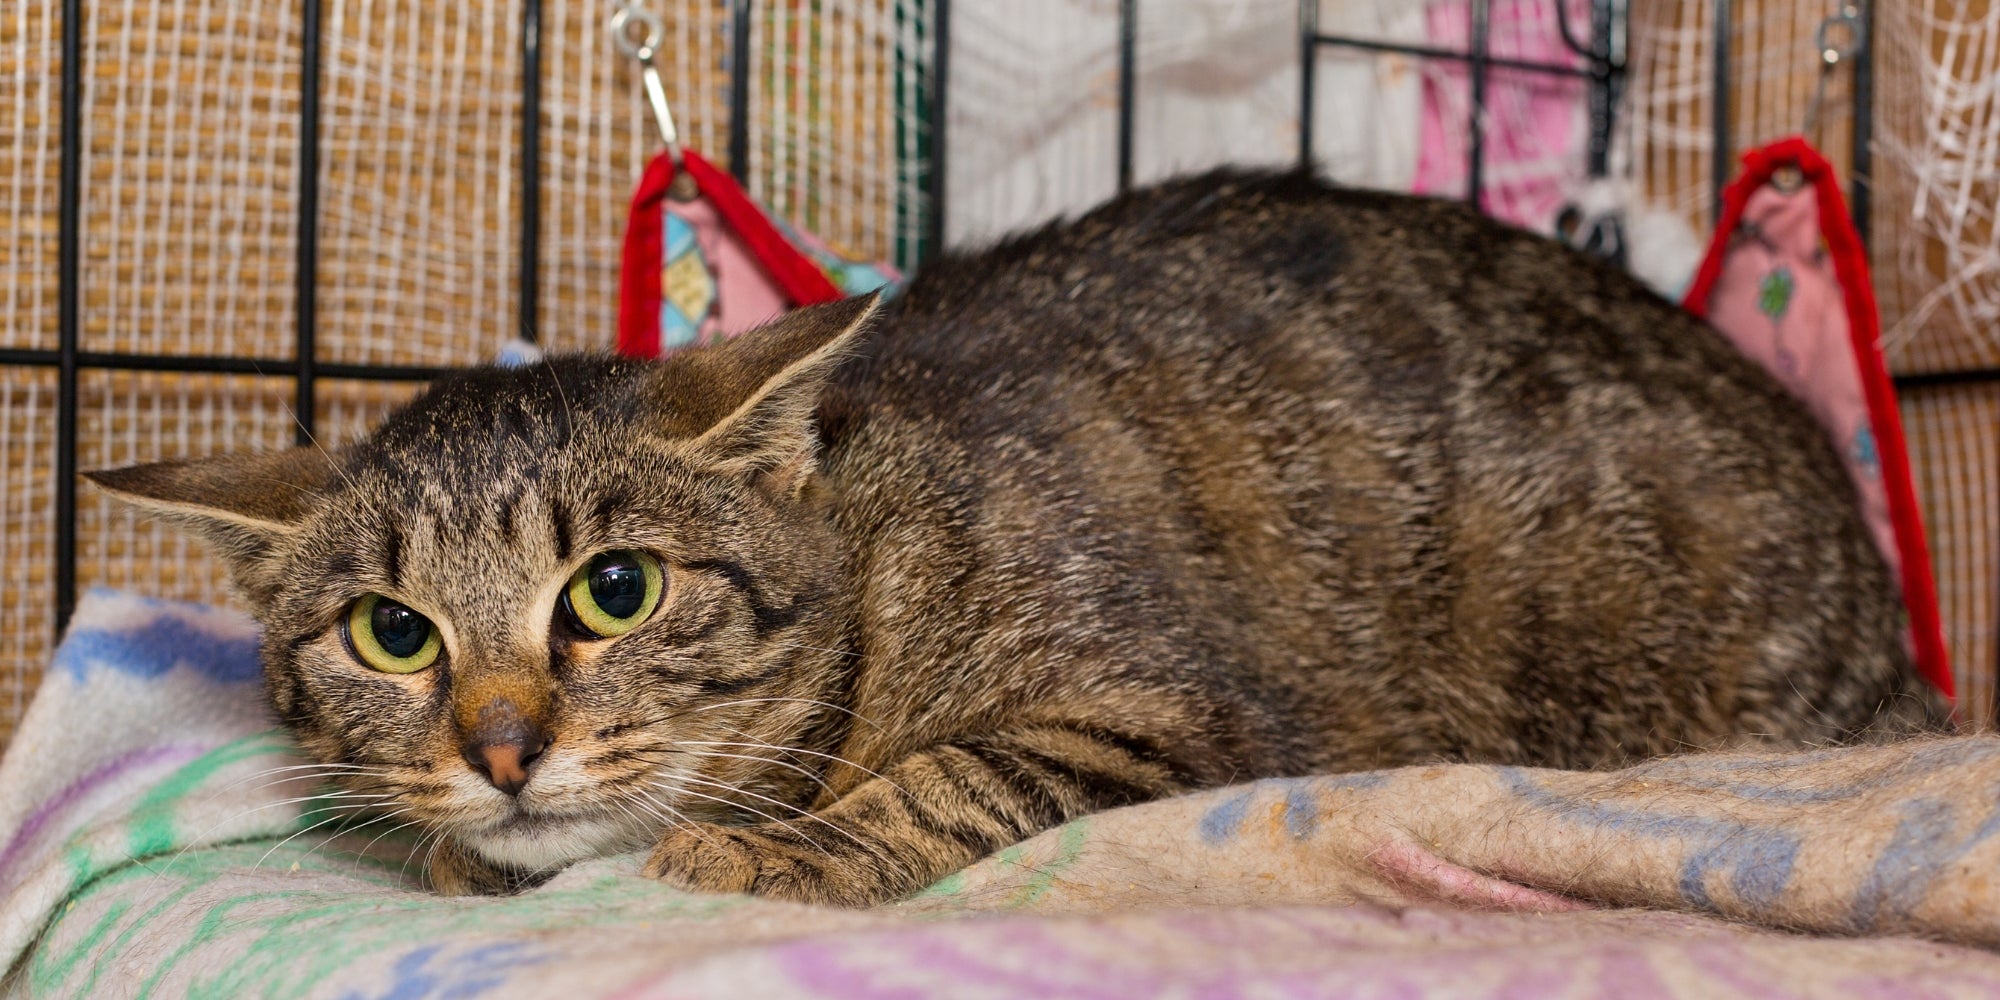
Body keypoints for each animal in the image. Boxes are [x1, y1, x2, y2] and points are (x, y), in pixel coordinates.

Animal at [90, 170, 1936, 908]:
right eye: (392, 632)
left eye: (612, 591)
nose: (498, 750)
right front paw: (461, 846)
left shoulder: (1163, 708)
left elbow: (955, 774)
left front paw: (770, 849)